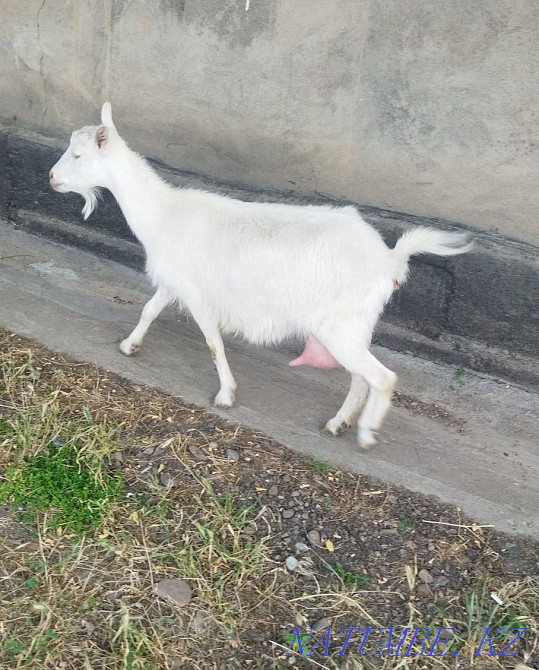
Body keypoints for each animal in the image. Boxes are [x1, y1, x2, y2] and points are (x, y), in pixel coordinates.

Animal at [50, 102, 472, 448]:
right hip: (354, 324)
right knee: (359, 375)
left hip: (339, 324)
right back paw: (340, 423)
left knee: (381, 377)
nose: (52, 178)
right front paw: (129, 345)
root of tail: (389, 259)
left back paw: (366, 433)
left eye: (78, 154)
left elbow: (213, 343)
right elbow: (150, 309)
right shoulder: (176, 281)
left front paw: (225, 395)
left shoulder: (199, 295)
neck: (163, 214)